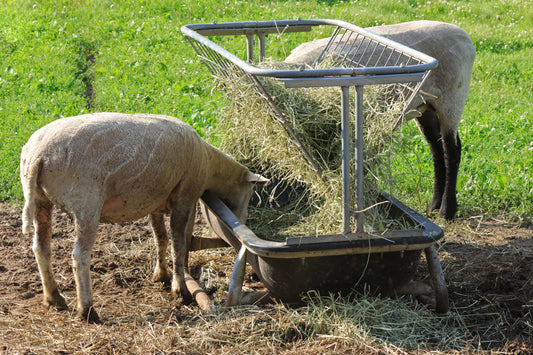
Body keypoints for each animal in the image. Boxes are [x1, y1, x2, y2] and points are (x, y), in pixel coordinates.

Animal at [20, 112, 266, 324]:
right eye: (250, 193)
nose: (244, 221)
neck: (209, 165)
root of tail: (37, 156)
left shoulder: (155, 201)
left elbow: (161, 239)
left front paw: (161, 275)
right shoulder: (185, 196)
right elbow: (178, 244)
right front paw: (181, 289)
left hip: (41, 199)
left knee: (41, 248)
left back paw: (54, 298)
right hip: (86, 201)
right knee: (79, 256)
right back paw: (88, 311)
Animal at [284, 20, 476, 220]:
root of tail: (464, 36)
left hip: (453, 98)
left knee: (452, 151)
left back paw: (446, 211)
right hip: (424, 106)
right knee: (437, 149)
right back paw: (434, 206)